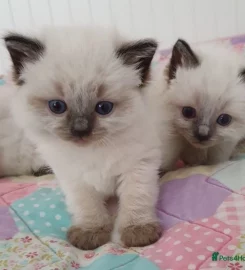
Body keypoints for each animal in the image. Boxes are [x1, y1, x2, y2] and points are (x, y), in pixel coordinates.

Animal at [3, 26, 163, 250]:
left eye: (104, 108)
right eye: (57, 106)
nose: (80, 130)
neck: (93, 152)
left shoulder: (138, 166)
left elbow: (136, 199)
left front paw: (137, 231)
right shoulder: (74, 178)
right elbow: (87, 206)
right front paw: (90, 232)